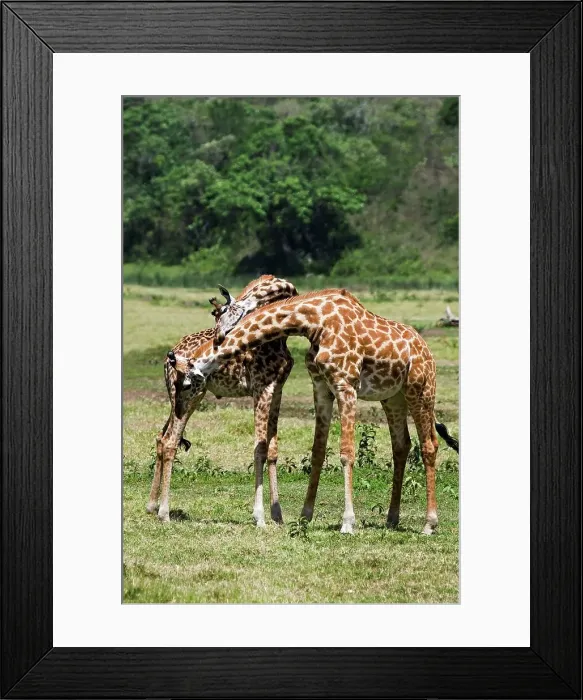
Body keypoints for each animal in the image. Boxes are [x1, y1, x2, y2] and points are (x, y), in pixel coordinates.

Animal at [146, 275, 298, 525]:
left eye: (221, 312)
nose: (219, 340)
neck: (278, 341)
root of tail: (168, 358)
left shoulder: (277, 390)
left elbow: (273, 449)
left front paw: (278, 516)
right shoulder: (261, 389)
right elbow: (260, 449)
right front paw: (260, 517)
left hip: (181, 398)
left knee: (161, 437)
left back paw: (151, 505)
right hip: (190, 395)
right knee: (170, 441)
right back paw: (164, 513)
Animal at [179, 288, 459, 535]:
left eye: (222, 313)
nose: (218, 337)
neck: (315, 323)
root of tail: (426, 349)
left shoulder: (346, 385)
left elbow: (346, 452)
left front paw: (347, 522)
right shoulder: (321, 386)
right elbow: (318, 451)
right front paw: (305, 516)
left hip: (420, 388)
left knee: (429, 445)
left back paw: (429, 524)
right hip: (392, 397)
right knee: (401, 445)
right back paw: (392, 519)